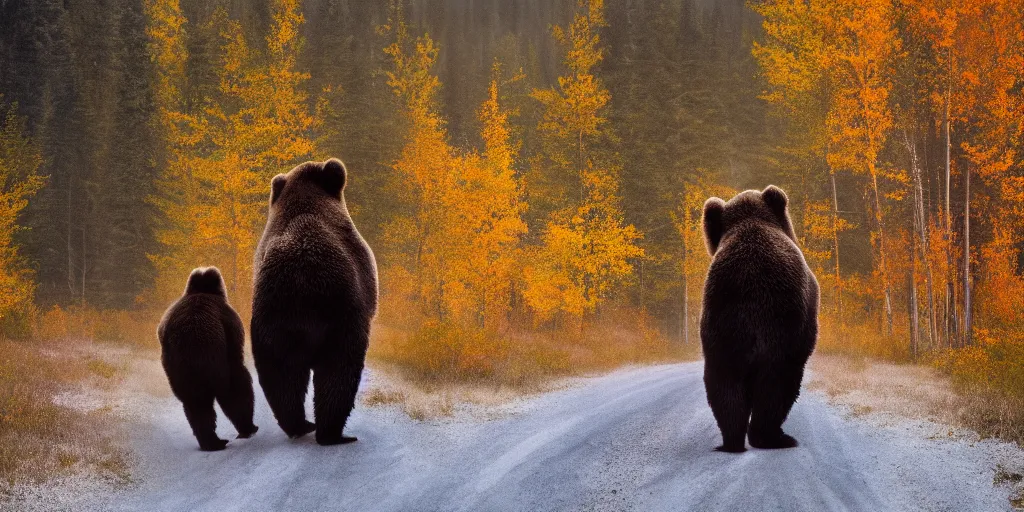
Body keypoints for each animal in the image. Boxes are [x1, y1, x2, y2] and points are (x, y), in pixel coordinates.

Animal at [158, 266, 260, 450]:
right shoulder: (230, 322)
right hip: (214, 361)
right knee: (233, 388)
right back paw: (247, 428)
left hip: (180, 370)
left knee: (197, 405)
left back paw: (211, 441)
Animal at [251, 157, 380, 446]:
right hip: (340, 320)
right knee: (338, 375)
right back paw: (333, 433)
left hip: (273, 323)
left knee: (282, 379)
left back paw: (299, 425)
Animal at [700, 185, 819, 452]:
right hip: (781, 331)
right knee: (778, 385)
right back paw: (773, 437)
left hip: (722, 331)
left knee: (723, 386)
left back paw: (731, 440)